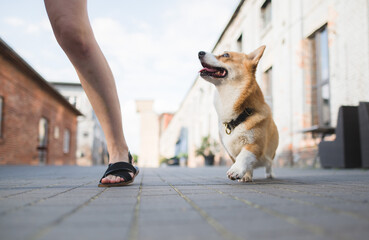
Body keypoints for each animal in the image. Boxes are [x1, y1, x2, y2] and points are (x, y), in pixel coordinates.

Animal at [197, 46, 278, 182]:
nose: (200, 52)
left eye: (225, 55)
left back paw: (270, 174)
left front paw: (235, 170)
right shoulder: (230, 151)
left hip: (270, 154)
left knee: (269, 164)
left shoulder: (255, 144)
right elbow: (241, 160)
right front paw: (245, 175)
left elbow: (243, 156)